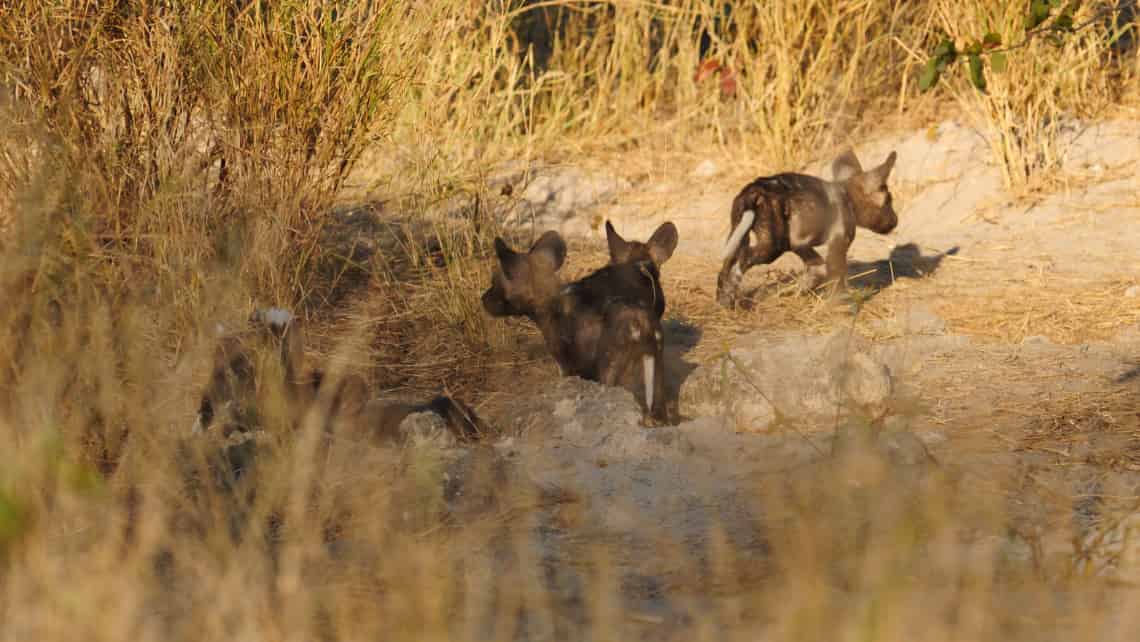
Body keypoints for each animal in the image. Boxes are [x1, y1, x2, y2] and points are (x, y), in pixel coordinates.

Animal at [476, 232, 670, 426]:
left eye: (494, 282)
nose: (482, 299)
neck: (550, 305)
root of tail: (640, 320)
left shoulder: (567, 367)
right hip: (656, 371)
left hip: (609, 372)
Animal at [711, 149, 898, 307]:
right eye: (888, 202)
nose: (895, 221)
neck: (848, 197)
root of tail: (754, 190)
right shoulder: (838, 243)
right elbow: (837, 277)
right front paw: (838, 304)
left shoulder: (799, 244)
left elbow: (817, 271)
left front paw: (794, 293)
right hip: (771, 248)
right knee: (738, 266)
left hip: (742, 235)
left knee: (727, 266)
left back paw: (723, 302)